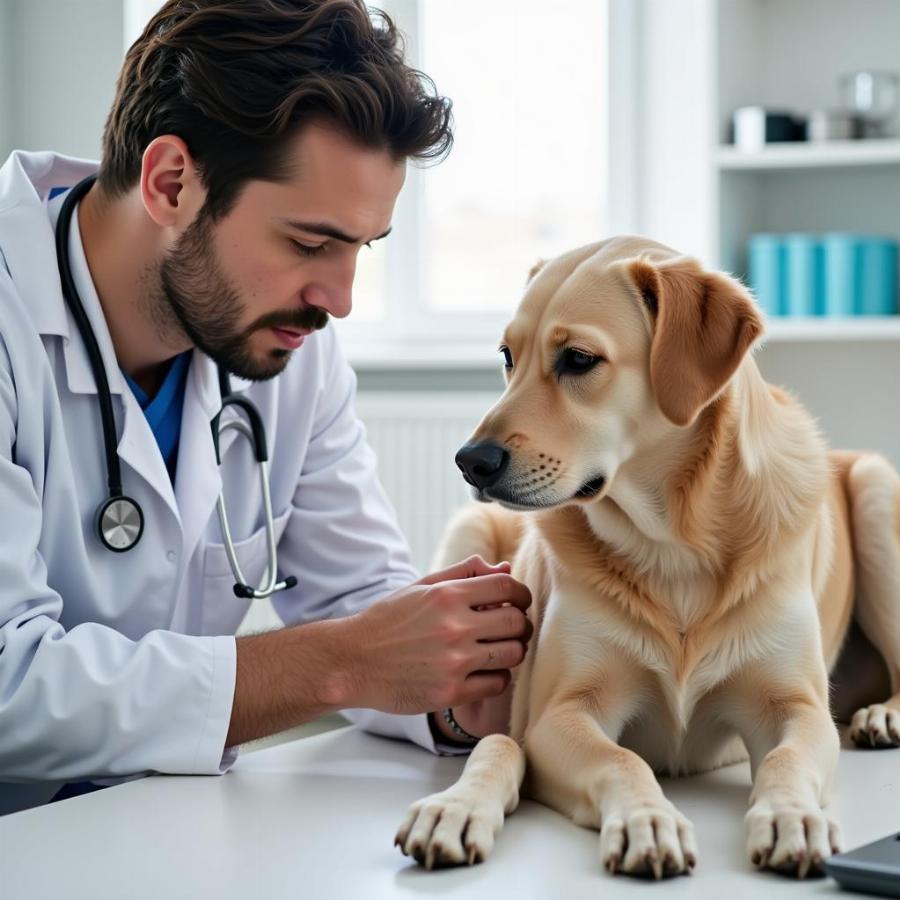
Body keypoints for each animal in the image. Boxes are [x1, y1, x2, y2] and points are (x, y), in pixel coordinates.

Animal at [394, 234, 900, 880]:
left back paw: (885, 716)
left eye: (578, 359)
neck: (673, 543)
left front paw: (792, 817)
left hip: (876, 492)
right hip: (469, 530)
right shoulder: (561, 714)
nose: (470, 461)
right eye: (508, 356)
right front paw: (646, 820)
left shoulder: (797, 708)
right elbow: (613, 759)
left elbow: (785, 761)